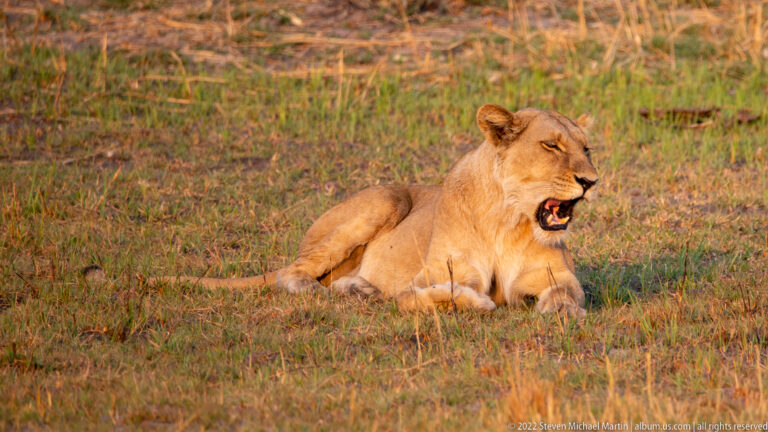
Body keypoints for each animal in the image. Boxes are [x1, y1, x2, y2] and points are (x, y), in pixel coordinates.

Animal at [148, 104, 598, 316]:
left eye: (587, 148)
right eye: (552, 146)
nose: (591, 181)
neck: (510, 220)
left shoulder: (554, 275)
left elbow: (567, 293)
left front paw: (559, 310)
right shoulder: (433, 276)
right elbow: (418, 297)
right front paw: (478, 302)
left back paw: (361, 290)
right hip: (386, 200)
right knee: (289, 274)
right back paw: (326, 291)